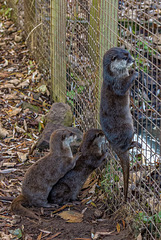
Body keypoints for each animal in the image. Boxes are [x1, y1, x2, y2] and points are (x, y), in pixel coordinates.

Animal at [100, 47, 142, 201]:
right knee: (126, 146)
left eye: (128, 53)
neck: (114, 75)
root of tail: (114, 145)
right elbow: (123, 87)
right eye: (125, 57)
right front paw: (134, 73)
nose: (133, 60)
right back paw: (135, 144)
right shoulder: (116, 84)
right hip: (128, 129)